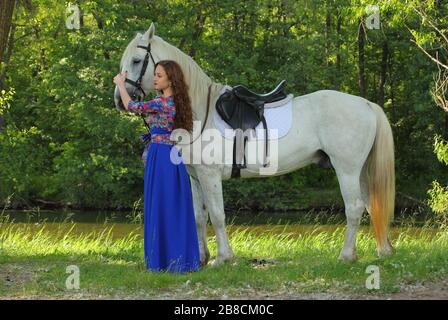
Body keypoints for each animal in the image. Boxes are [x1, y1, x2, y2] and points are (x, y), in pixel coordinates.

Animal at [114, 22, 396, 266]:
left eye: (137, 61)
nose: (119, 99)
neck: (197, 110)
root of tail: (366, 104)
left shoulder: (209, 175)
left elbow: (217, 215)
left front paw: (223, 258)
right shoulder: (195, 177)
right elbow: (198, 216)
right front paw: (203, 258)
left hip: (346, 170)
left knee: (354, 207)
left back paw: (346, 255)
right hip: (360, 171)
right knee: (370, 205)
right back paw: (381, 250)